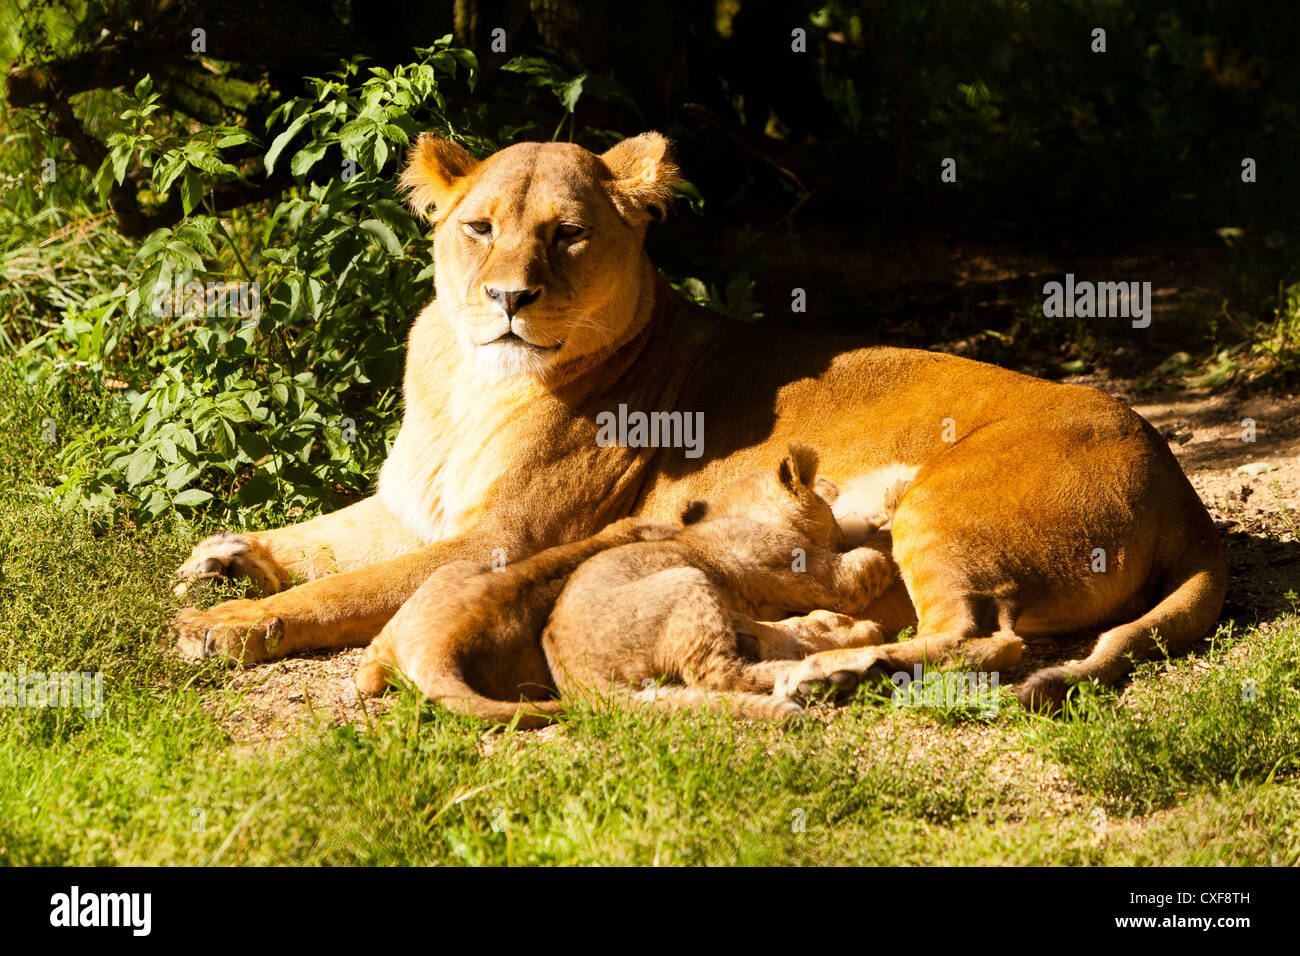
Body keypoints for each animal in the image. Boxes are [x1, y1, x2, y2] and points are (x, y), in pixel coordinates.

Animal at [355, 444, 907, 724]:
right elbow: (866, 564)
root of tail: (580, 681)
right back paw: (813, 677)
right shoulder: (818, 575)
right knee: (716, 675)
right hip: (688, 582)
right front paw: (883, 520)